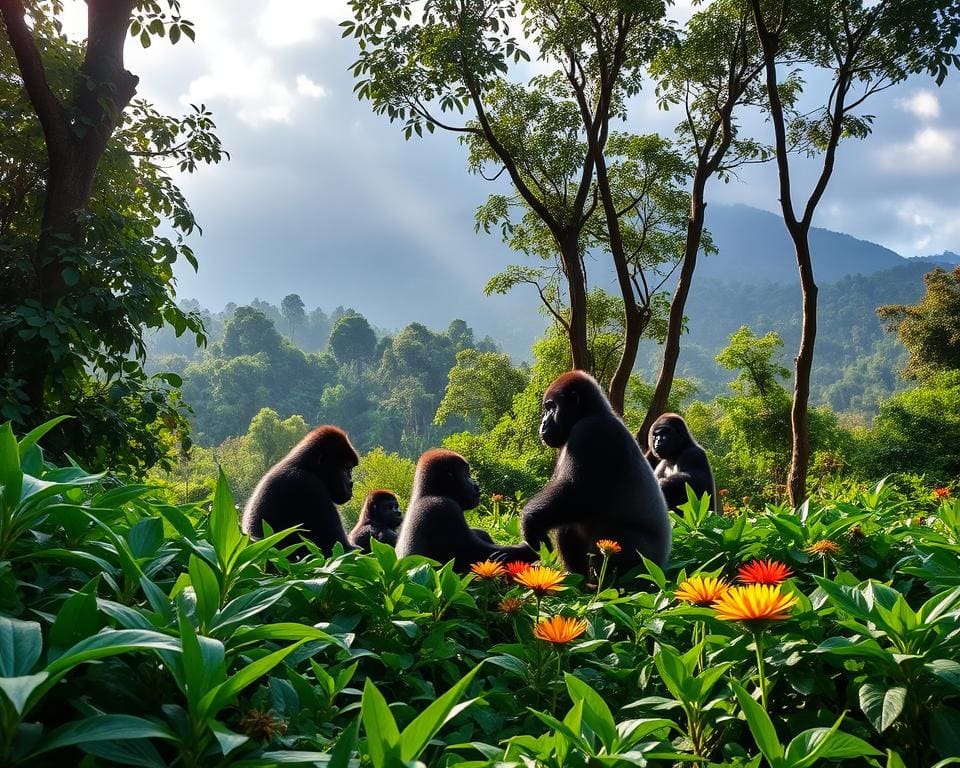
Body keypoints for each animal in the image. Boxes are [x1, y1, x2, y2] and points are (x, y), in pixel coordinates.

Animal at [240, 426, 360, 560]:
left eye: (350, 469)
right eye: (346, 469)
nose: (350, 483)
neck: (306, 466)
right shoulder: (309, 485)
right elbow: (342, 550)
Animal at [392, 450, 540, 568]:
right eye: (467, 474)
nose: (476, 485)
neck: (430, 492)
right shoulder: (443, 508)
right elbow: (477, 554)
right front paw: (528, 550)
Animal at [520, 370, 672, 576]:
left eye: (551, 408)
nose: (543, 423)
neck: (593, 411)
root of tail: (662, 565)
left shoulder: (591, 431)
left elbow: (577, 491)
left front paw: (531, 522)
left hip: (648, 562)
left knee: (613, 537)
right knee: (568, 526)